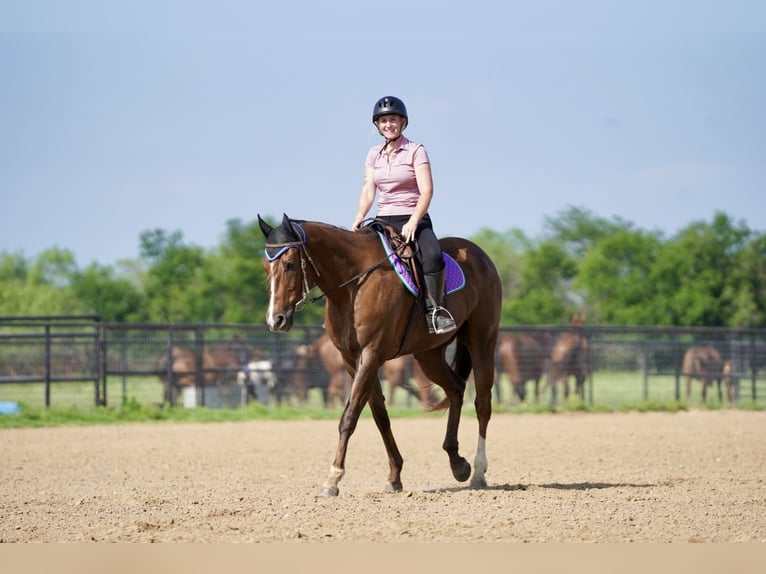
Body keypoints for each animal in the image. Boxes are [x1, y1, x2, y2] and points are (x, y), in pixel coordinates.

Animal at [260, 214, 508, 498]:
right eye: (266, 268)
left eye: (289, 264)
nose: (275, 320)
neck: (353, 285)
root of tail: (480, 255)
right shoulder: (352, 360)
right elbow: (380, 416)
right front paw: (394, 476)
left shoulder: (371, 355)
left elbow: (349, 416)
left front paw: (333, 478)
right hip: (428, 355)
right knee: (456, 389)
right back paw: (457, 464)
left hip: (482, 342)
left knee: (482, 404)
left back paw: (478, 471)